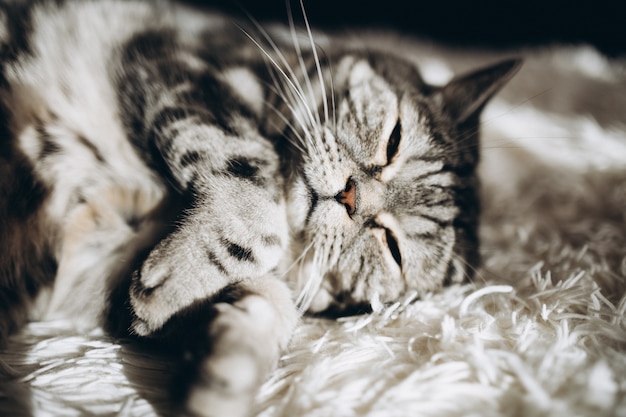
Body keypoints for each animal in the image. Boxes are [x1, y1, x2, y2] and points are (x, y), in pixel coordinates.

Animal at [0, 1, 520, 414]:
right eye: (393, 139)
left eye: (392, 248)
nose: (351, 196)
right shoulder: (180, 65)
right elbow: (250, 167)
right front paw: (196, 265)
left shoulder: (103, 274)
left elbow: (271, 300)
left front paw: (226, 369)